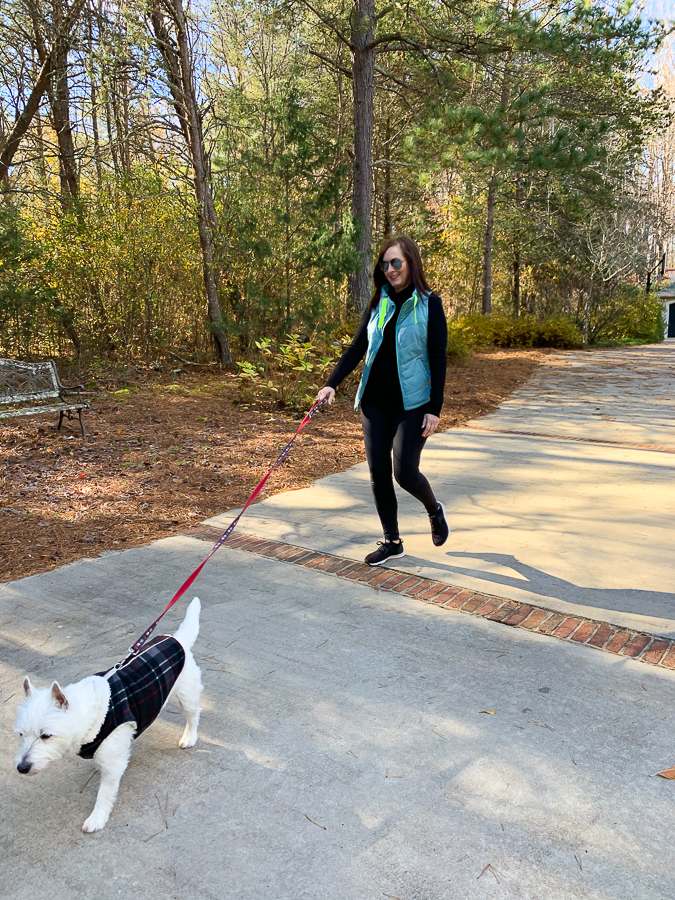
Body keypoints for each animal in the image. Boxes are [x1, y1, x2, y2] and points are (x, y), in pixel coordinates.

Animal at [13, 596, 203, 832]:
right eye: (21, 734)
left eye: (46, 735)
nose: (22, 768)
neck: (91, 716)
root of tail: (178, 639)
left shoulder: (113, 764)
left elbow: (104, 793)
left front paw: (97, 819)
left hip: (186, 693)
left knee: (193, 714)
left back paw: (189, 737)